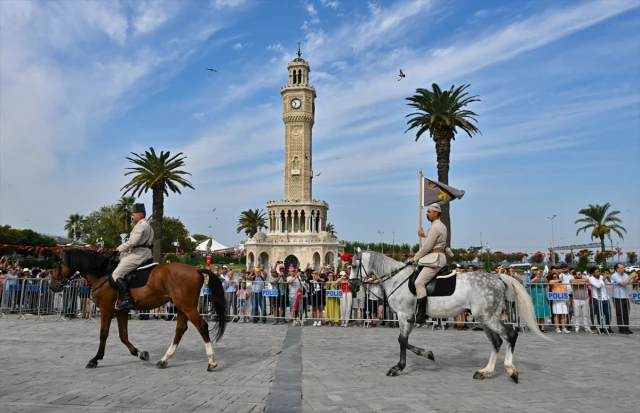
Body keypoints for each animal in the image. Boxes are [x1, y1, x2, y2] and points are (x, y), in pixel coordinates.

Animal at [51, 248, 229, 370]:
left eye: (56, 265)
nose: (52, 285)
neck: (103, 275)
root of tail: (196, 269)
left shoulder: (106, 309)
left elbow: (103, 334)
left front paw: (95, 359)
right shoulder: (121, 311)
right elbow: (123, 336)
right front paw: (141, 354)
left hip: (187, 306)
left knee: (201, 326)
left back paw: (211, 362)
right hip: (181, 307)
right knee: (180, 329)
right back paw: (164, 360)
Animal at [350, 246, 552, 382]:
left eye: (353, 265)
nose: (352, 286)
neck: (397, 279)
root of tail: (497, 277)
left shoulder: (403, 315)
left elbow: (401, 341)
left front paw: (398, 367)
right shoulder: (409, 318)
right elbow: (405, 341)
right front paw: (428, 354)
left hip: (488, 317)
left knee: (510, 335)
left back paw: (511, 371)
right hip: (485, 318)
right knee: (497, 342)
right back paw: (485, 371)